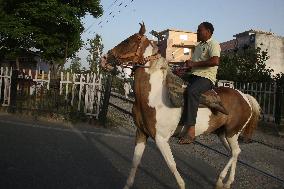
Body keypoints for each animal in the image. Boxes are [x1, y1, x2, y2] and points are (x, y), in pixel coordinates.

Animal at [101, 23, 260, 189]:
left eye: (129, 41)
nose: (104, 59)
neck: (155, 95)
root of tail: (245, 97)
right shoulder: (141, 133)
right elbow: (135, 162)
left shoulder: (161, 139)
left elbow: (172, 166)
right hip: (223, 134)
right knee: (235, 152)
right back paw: (225, 181)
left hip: (232, 133)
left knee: (235, 152)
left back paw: (222, 180)